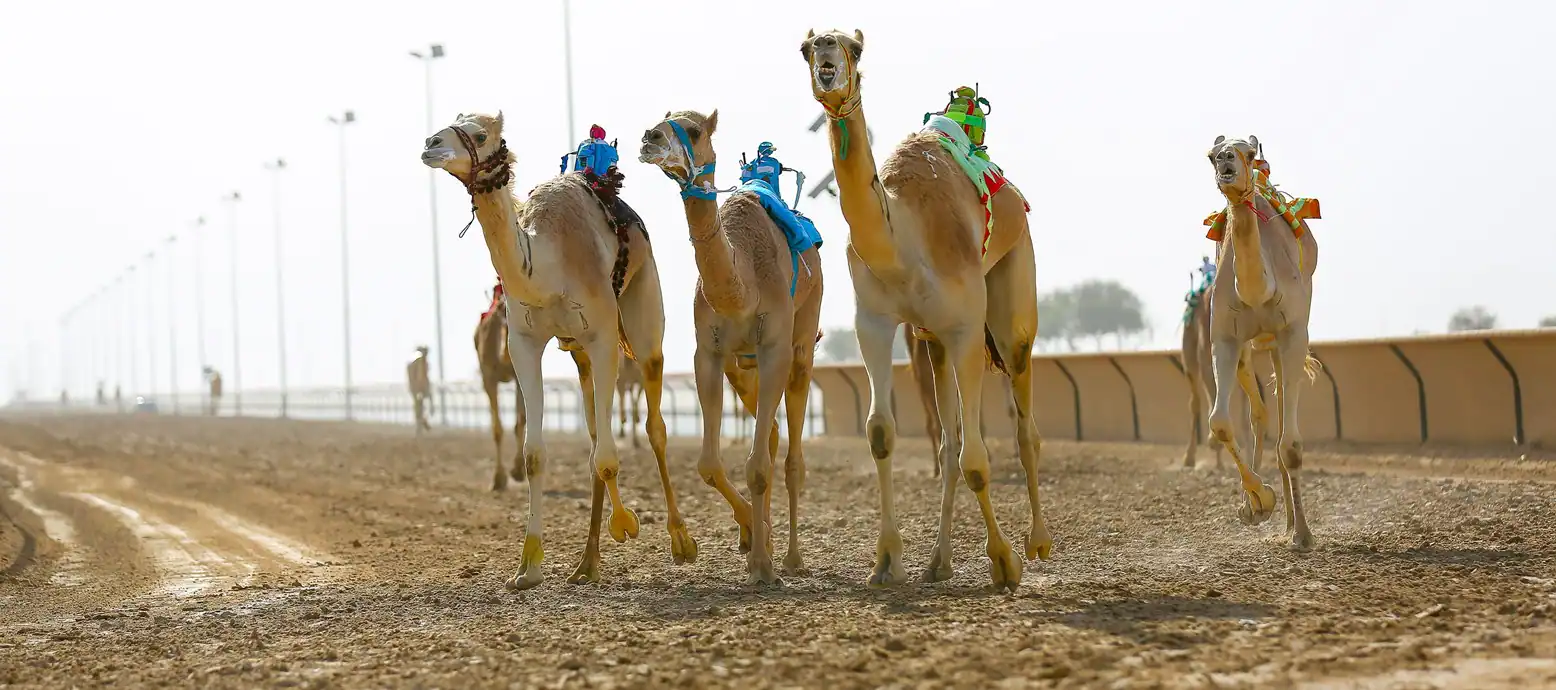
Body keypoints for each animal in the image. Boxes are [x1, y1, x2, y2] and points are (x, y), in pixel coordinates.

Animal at [423, 112, 697, 588]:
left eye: (480, 133)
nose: (430, 145)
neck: (546, 265)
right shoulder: (523, 344)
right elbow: (537, 454)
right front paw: (527, 566)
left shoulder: (603, 335)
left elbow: (608, 455)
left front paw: (627, 524)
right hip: (578, 353)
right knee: (593, 435)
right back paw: (586, 563)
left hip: (644, 316)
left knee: (655, 425)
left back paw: (681, 541)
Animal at [637, 110, 827, 585]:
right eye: (660, 120)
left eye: (693, 128)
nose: (650, 138)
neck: (741, 287)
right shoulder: (709, 353)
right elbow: (710, 464)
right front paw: (755, 538)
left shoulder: (776, 346)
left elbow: (757, 465)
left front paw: (762, 565)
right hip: (743, 367)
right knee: (773, 434)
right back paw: (768, 537)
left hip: (802, 342)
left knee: (793, 456)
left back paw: (792, 557)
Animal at [809, 28, 1051, 594]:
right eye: (806, 48)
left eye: (854, 49)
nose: (827, 57)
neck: (903, 239)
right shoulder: (873, 323)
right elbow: (882, 433)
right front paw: (887, 562)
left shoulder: (965, 326)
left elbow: (978, 460)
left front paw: (1004, 562)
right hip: (933, 341)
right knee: (950, 439)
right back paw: (939, 561)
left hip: (1011, 303)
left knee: (1024, 424)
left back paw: (1038, 541)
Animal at [1195, 137, 1319, 554]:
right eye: (1211, 155)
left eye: (1248, 154)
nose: (1225, 159)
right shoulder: (1225, 337)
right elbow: (1219, 423)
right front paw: (1258, 503)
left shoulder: (1293, 332)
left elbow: (1292, 444)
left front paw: (1303, 536)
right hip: (1252, 349)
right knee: (1260, 414)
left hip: (1282, 344)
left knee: (1280, 418)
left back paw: (1293, 525)